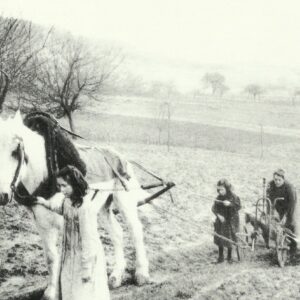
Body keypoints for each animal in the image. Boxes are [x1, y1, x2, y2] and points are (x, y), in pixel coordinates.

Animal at [0, 112, 150, 300]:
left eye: (15, 152)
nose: (2, 195)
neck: (45, 174)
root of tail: (120, 157)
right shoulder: (42, 223)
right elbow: (51, 257)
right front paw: (51, 291)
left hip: (124, 201)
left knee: (135, 230)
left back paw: (141, 273)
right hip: (103, 207)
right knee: (117, 232)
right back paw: (116, 275)